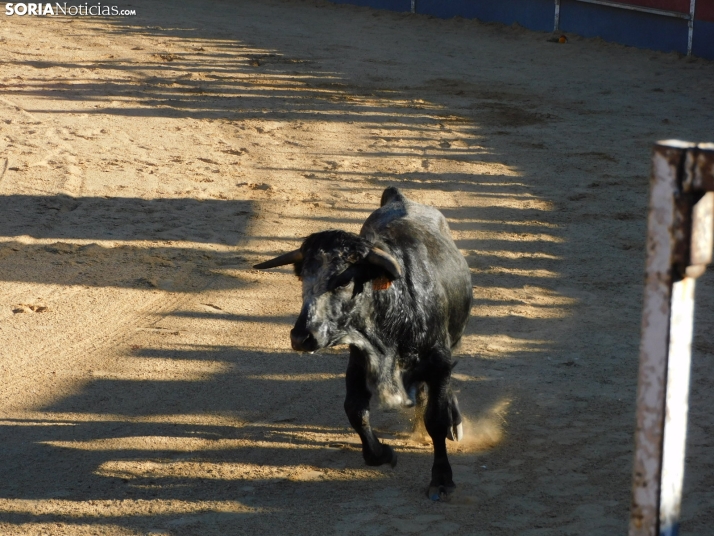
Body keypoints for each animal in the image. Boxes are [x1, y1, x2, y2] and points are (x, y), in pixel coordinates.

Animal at [253, 186, 470, 500]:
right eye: (303, 277)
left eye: (343, 281)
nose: (301, 337)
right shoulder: (359, 360)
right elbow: (355, 409)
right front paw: (381, 454)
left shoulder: (438, 361)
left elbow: (437, 419)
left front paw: (441, 478)